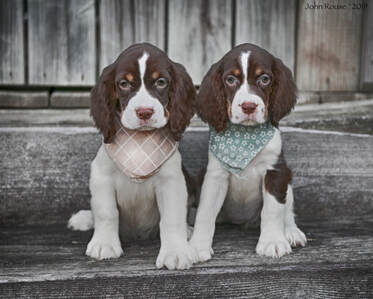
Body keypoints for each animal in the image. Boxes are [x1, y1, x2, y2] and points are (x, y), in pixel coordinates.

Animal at [67, 43, 196, 270]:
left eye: (161, 82)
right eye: (124, 84)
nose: (144, 112)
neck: (139, 141)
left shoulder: (172, 181)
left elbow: (172, 218)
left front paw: (175, 252)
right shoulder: (101, 176)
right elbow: (106, 212)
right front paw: (104, 244)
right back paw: (84, 218)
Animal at [189, 42, 306, 262]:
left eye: (265, 79)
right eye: (230, 80)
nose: (249, 106)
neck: (245, 138)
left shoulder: (275, 172)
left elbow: (273, 210)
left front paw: (272, 242)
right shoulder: (215, 175)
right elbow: (205, 212)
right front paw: (197, 245)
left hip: (287, 179)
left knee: (288, 208)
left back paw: (291, 232)